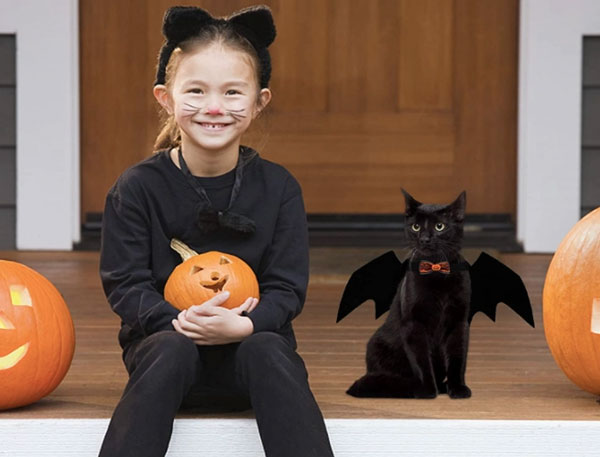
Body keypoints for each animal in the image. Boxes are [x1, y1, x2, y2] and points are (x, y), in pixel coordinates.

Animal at [346, 191, 474, 398]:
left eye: (439, 226)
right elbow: (422, 361)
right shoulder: (414, 324)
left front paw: (458, 389)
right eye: (416, 227)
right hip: (376, 343)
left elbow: (458, 358)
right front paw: (427, 391)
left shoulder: (459, 322)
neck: (436, 271)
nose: (424, 239)